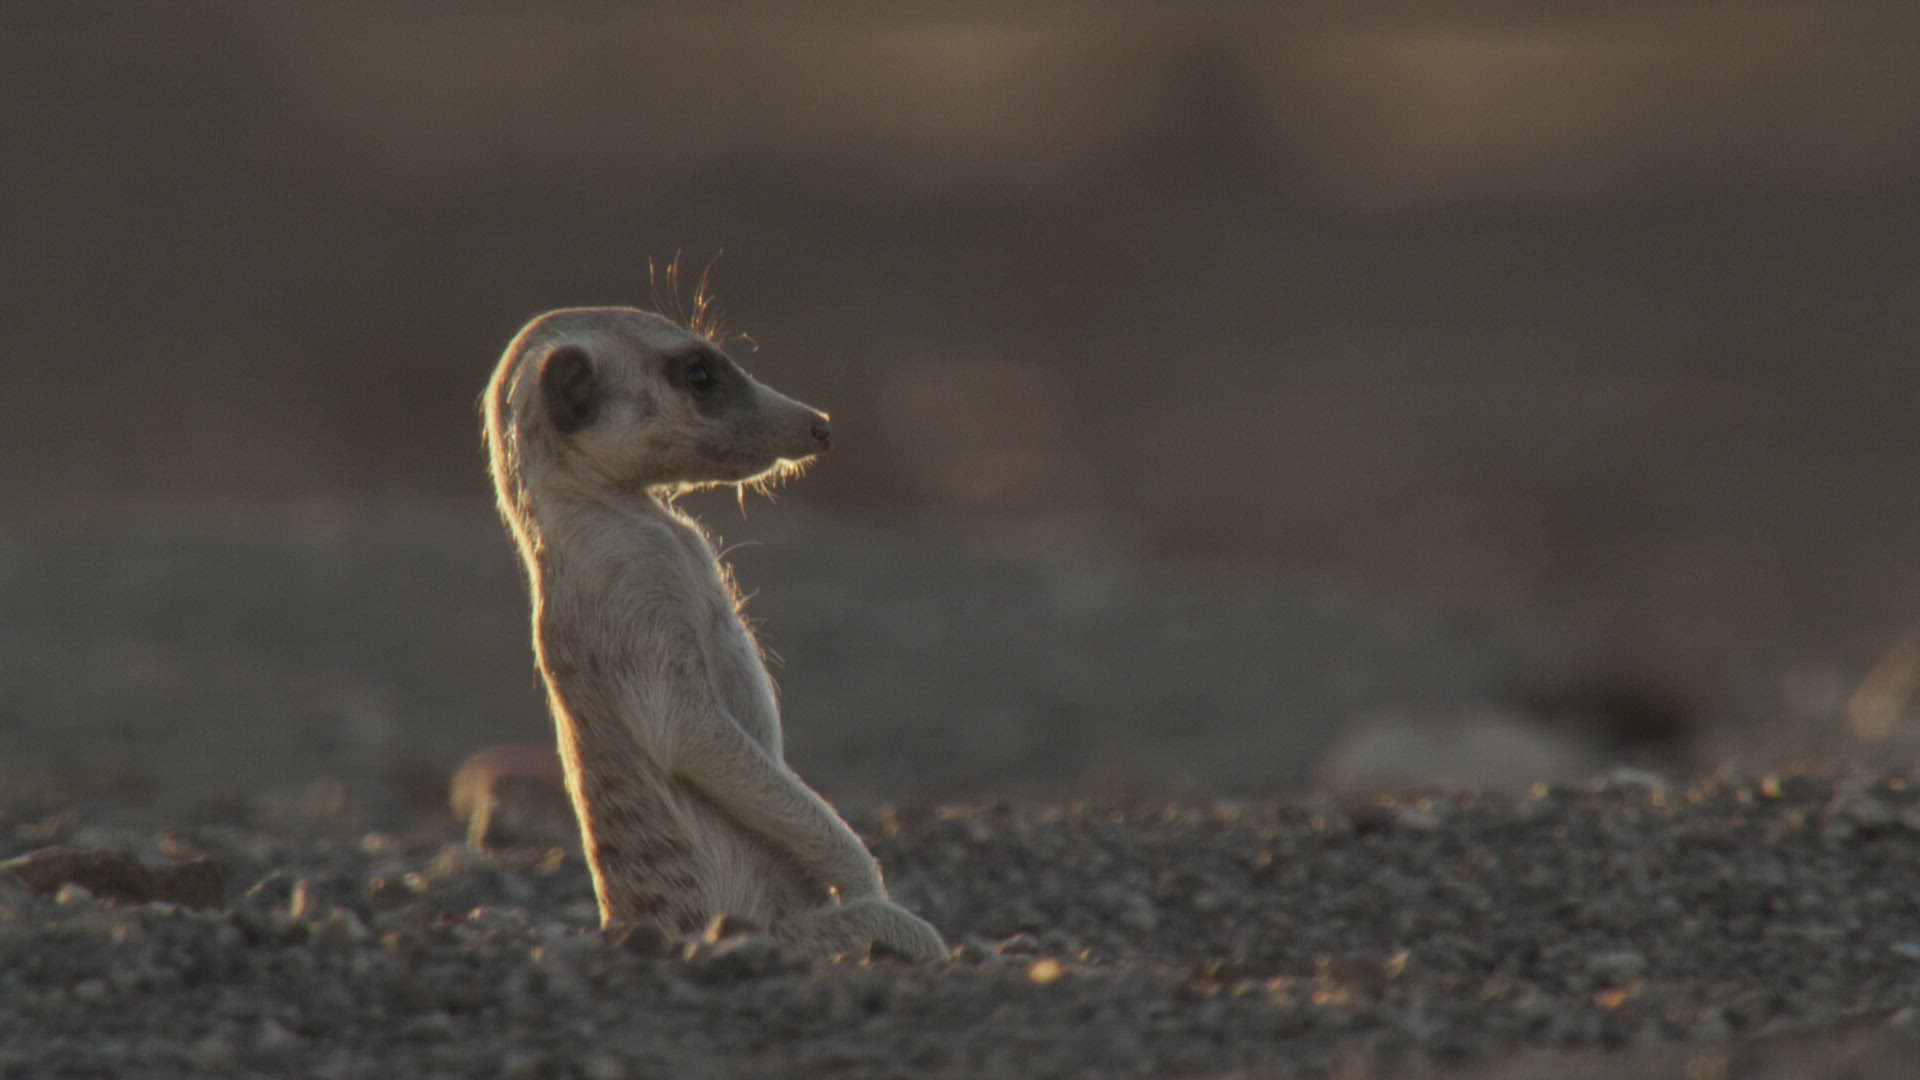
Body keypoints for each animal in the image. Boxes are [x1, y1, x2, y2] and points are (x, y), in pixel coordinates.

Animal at [482, 306, 947, 962]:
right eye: (700, 375)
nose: (821, 426)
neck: (626, 516)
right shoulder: (631, 596)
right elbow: (686, 730)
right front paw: (861, 874)